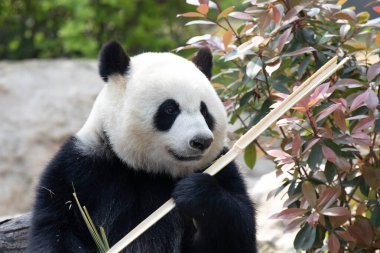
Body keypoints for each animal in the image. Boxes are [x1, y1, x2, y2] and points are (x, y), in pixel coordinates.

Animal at [28, 41, 256, 253]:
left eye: (204, 111)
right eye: (170, 109)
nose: (201, 141)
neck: (150, 171)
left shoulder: (223, 166)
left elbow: (238, 230)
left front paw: (194, 191)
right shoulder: (81, 170)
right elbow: (58, 226)